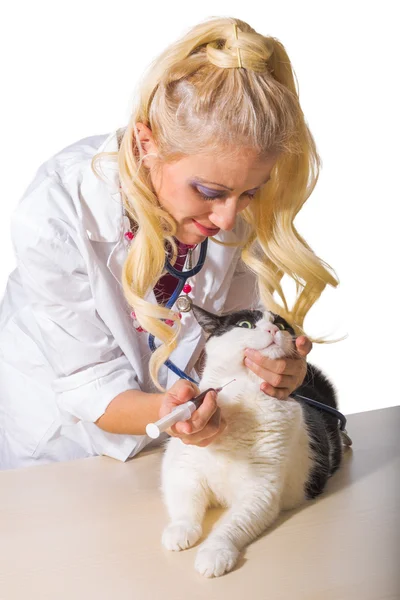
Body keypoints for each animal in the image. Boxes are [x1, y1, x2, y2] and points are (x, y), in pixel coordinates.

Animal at [159, 304, 344, 576]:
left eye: (282, 325)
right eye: (245, 324)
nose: (273, 330)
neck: (243, 393)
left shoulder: (259, 491)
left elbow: (231, 525)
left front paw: (214, 552)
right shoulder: (183, 471)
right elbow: (185, 504)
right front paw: (179, 530)